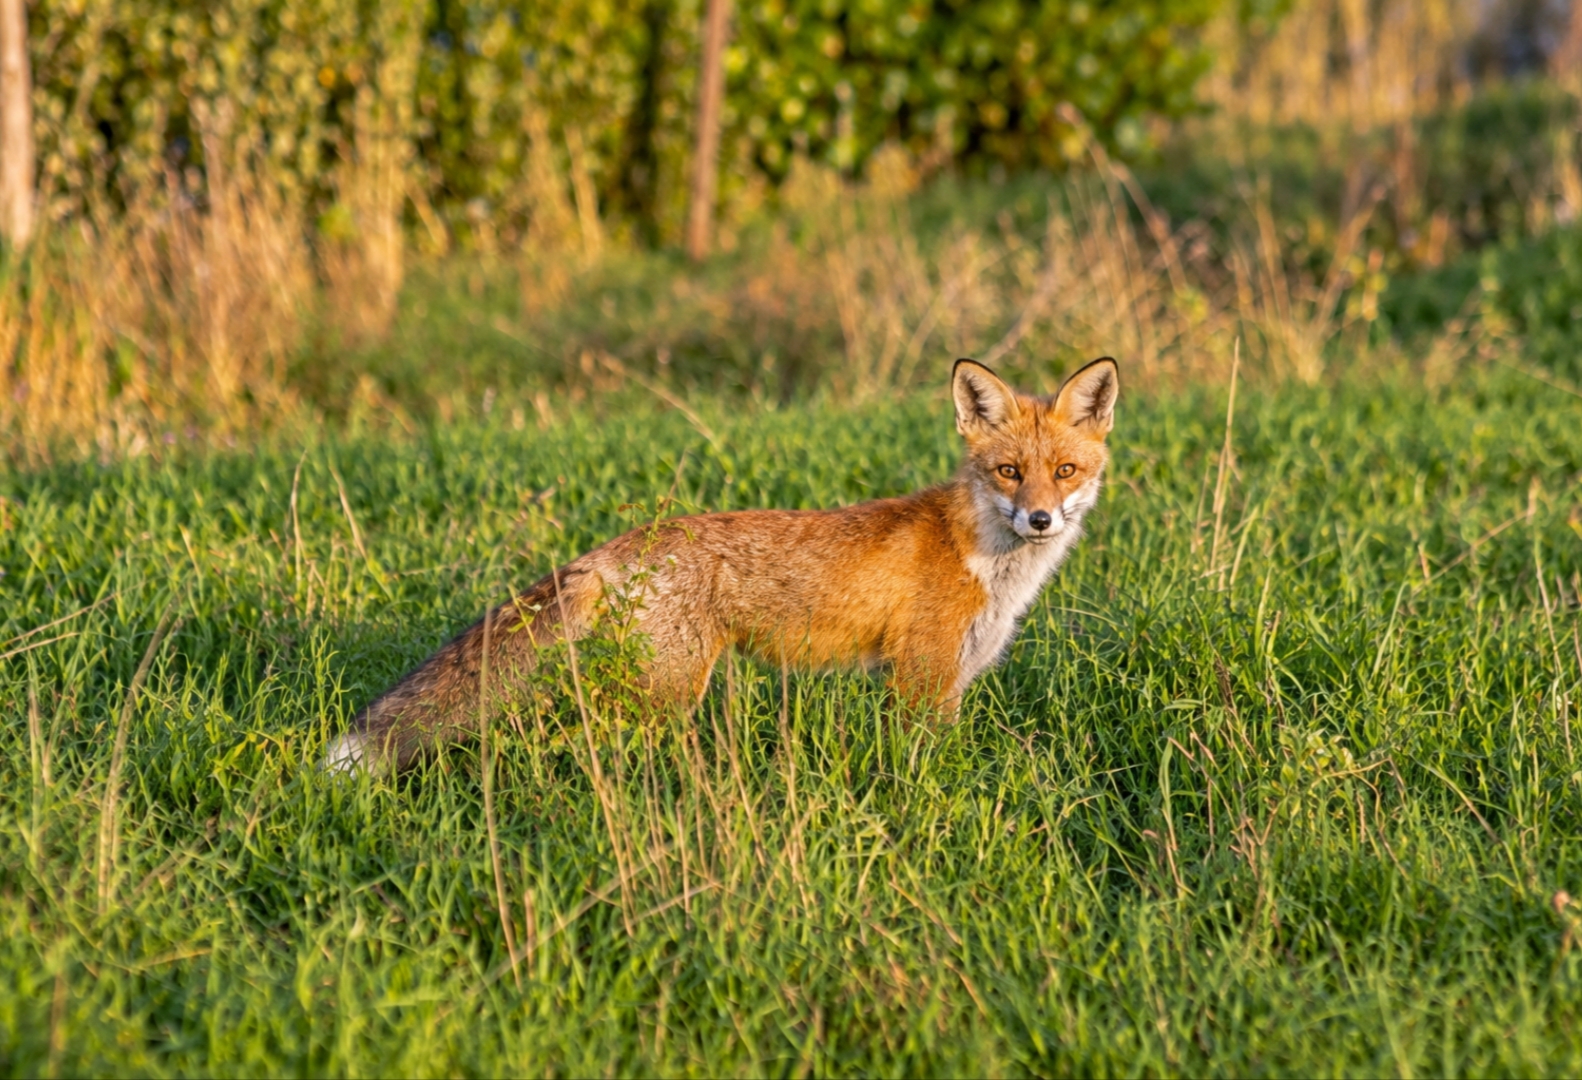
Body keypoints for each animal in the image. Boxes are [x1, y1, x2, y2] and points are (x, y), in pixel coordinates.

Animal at [325, 356, 1119, 772]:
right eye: (1010, 472)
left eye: (1066, 471)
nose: (1040, 520)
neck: (985, 562)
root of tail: (622, 545)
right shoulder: (922, 682)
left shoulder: (945, 681)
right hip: (667, 694)